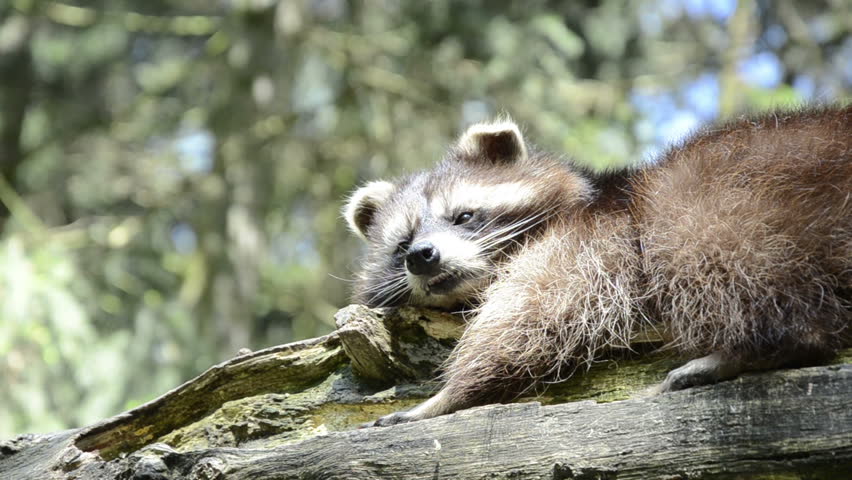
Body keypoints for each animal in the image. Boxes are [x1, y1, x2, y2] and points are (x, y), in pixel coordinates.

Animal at [344, 106, 852, 427]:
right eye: (402, 245)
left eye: (463, 216)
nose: (422, 256)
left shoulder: (593, 238)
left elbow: (531, 320)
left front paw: (448, 395)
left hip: (738, 190)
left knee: (704, 244)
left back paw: (763, 344)